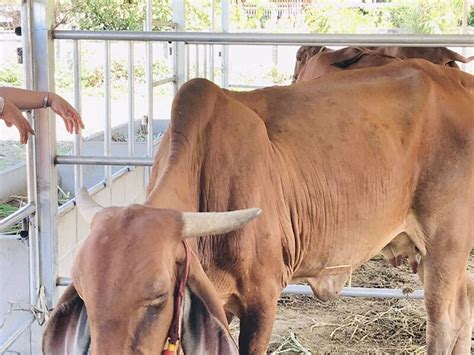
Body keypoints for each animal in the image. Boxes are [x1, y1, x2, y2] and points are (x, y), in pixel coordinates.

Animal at [42, 59, 472, 354]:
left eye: (159, 297)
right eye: (83, 293)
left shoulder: (262, 298)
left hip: (445, 243)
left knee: (444, 322)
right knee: (464, 302)